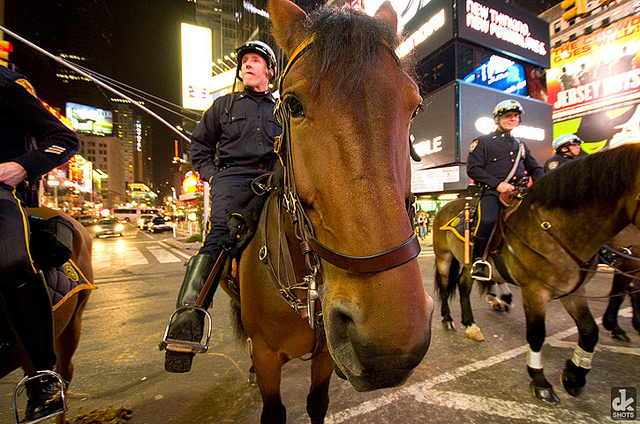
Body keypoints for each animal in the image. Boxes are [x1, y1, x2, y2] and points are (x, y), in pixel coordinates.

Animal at [222, 1, 432, 422]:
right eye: (292, 104)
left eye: (415, 107)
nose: (391, 344)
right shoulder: (267, 357)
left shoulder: (324, 355)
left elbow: (317, 402)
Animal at [436, 144, 640, 406]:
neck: (557, 228)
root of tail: (446, 205)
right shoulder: (535, 291)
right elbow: (536, 334)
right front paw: (540, 381)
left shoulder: (572, 290)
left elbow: (589, 330)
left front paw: (575, 375)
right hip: (444, 257)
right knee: (444, 287)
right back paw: (448, 319)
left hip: (468, 261)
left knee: (463, 286)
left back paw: (471, 324)